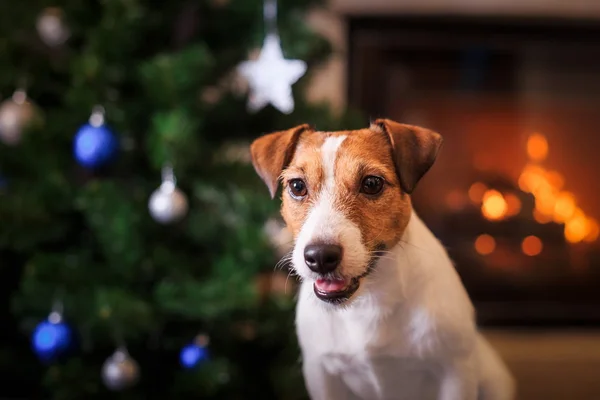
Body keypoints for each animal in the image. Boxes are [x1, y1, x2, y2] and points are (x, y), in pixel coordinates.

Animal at [248, 119, 516, 400]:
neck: (368, 301)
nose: (320, 256)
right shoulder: (322, 375)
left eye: (372, 184)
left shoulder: (455, 374)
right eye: (297, 186)